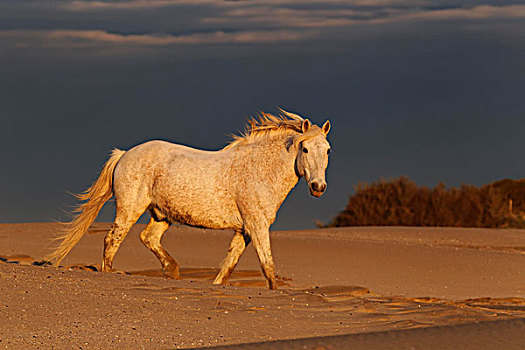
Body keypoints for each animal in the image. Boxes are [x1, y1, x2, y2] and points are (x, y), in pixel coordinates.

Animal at [47, 110, 330, 290]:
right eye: (305, 149)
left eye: (327, 150)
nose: (318, 187)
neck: (259, 169)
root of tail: (124, 154)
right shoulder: (257, 227)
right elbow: (268, 267)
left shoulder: (244, 231)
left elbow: (228, 266)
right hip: (130, 209)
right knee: (112, 239)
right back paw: (111, 273)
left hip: (161, 214)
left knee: (148, 237)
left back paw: (172, 270)